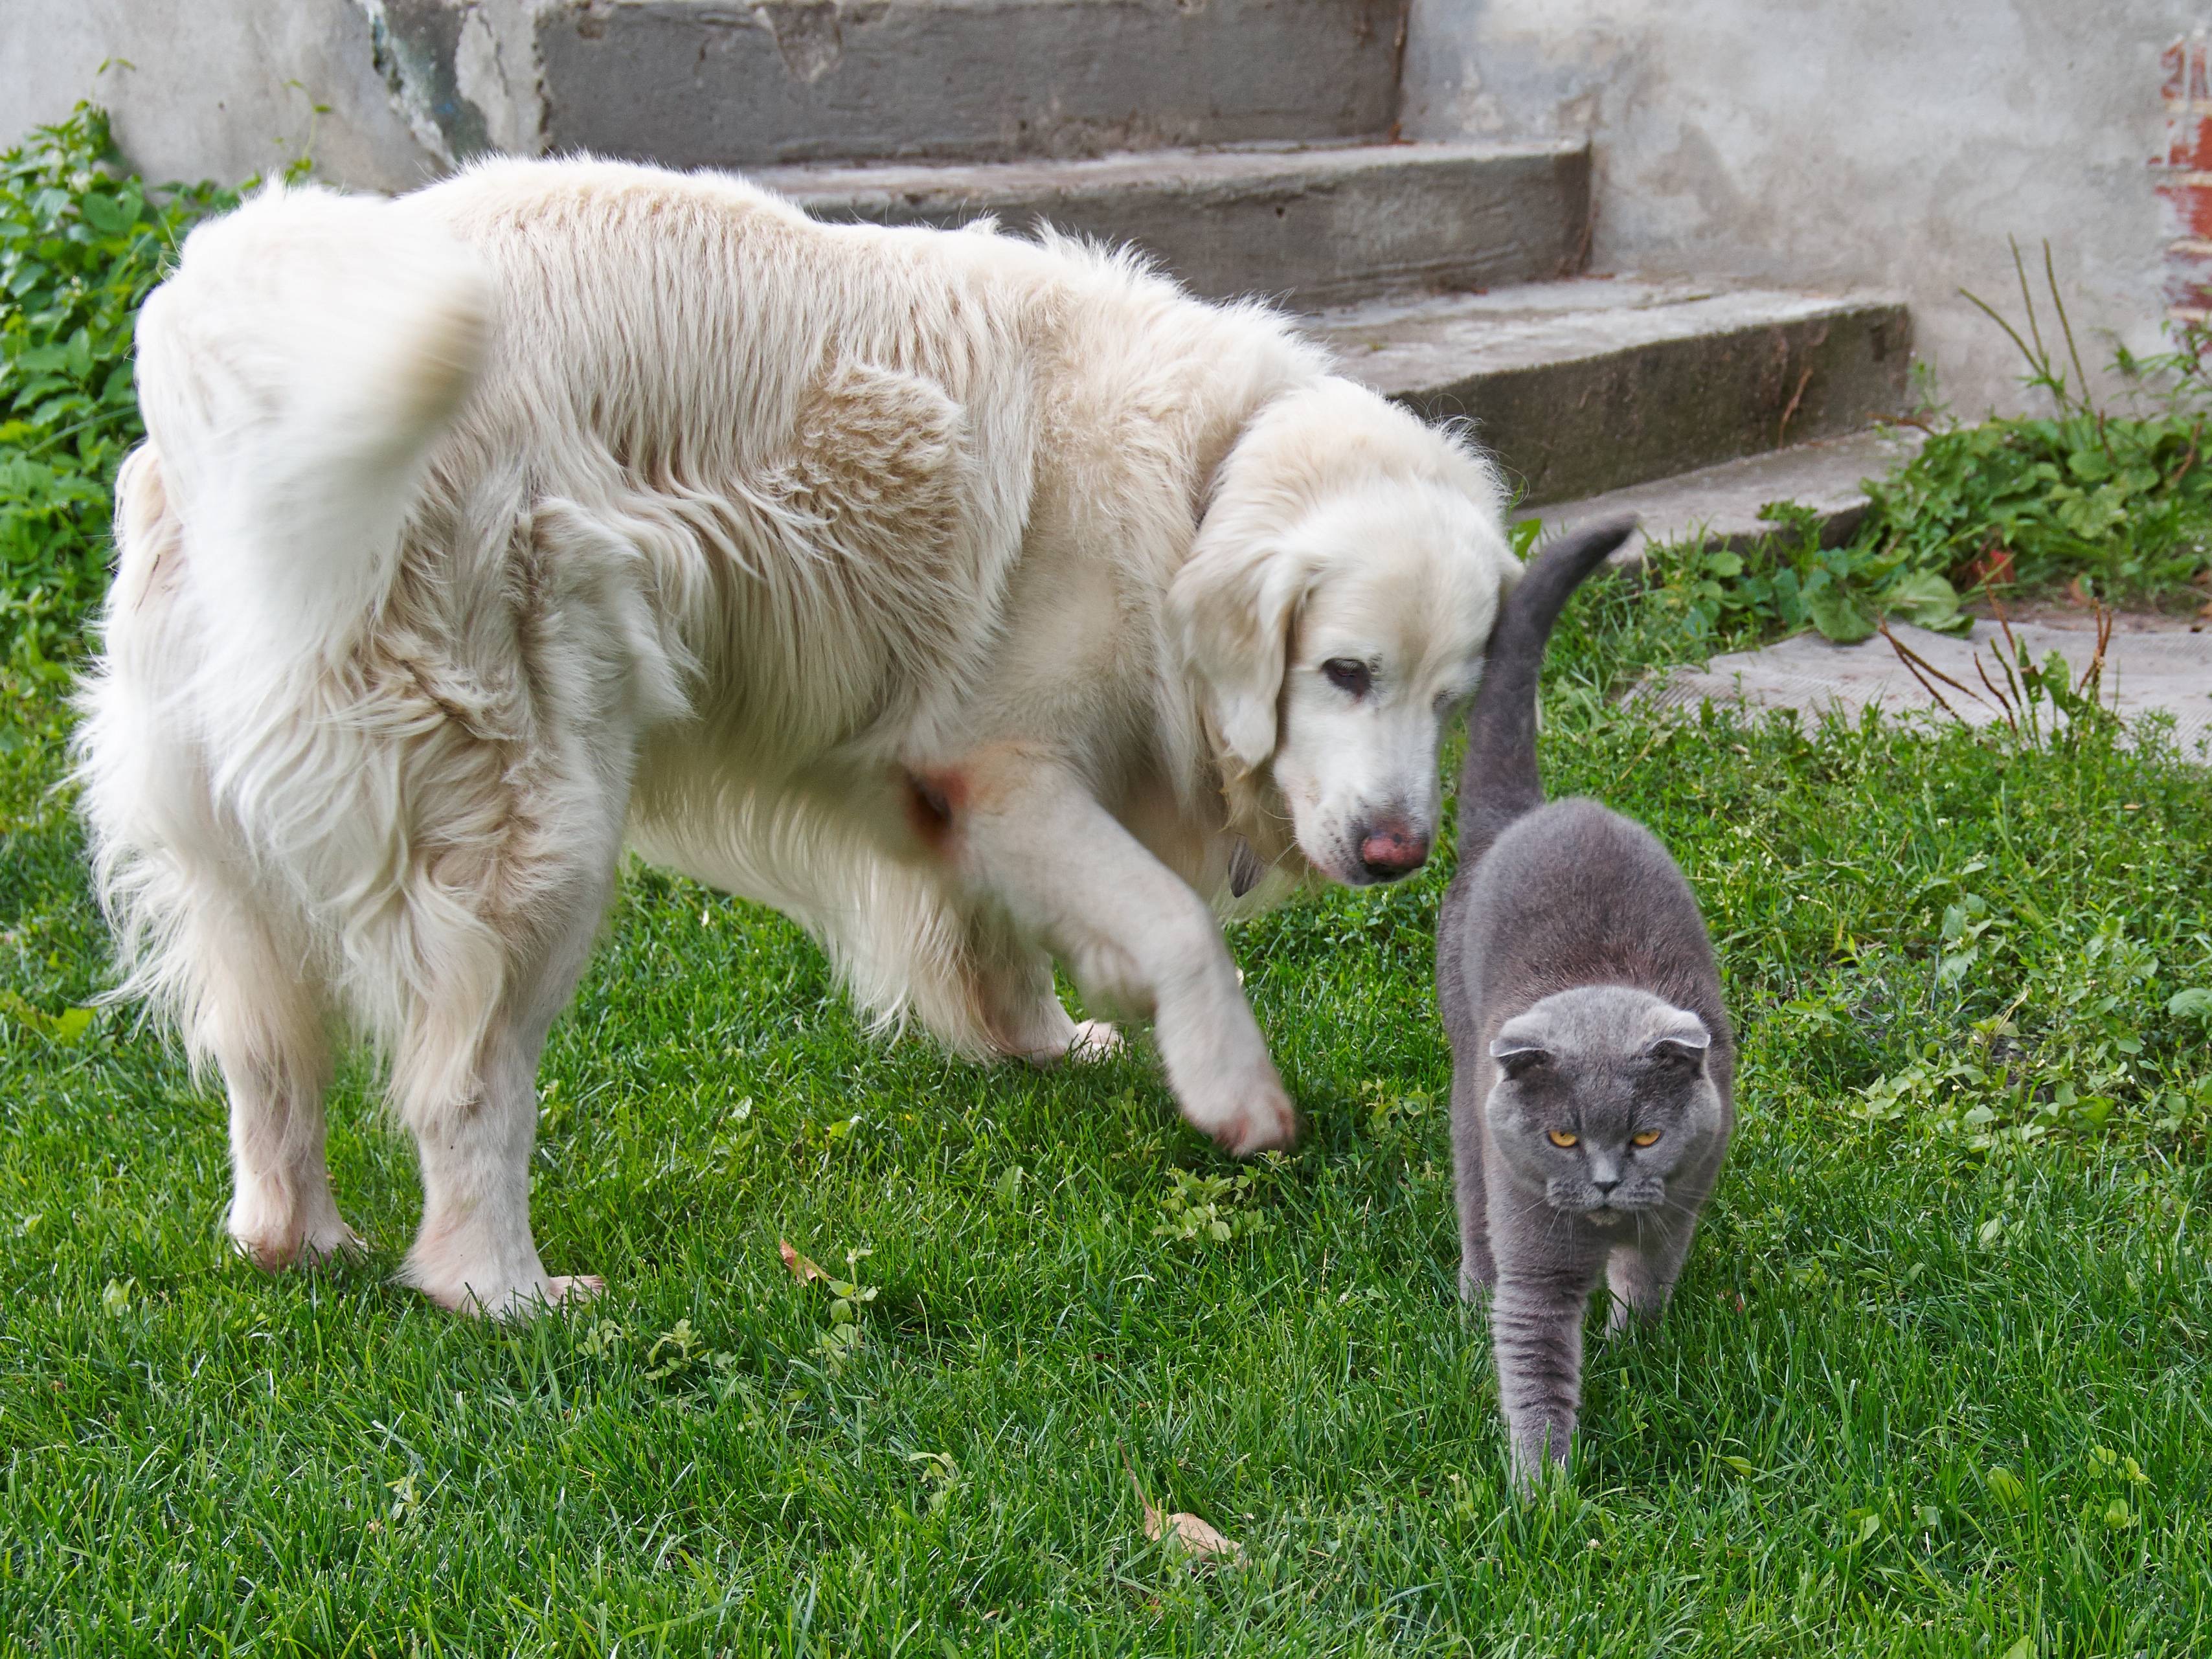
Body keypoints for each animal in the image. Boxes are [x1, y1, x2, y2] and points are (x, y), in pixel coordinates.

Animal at [73, 159, 1522, 1327]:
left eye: (1450, 699)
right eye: (1343, 673)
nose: (1398, 854)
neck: (1200, 478)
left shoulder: (954, 787)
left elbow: (992, 931)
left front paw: (1038, 1040)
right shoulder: (1004, 762)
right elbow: (1171, 922)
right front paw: (1234, 1091)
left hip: (238, 860)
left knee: (268, 1060)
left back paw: (297, 1239)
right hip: (536, 837)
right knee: (464, 1089)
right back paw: (503, 1289)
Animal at [1442, 517, 1734, 1477]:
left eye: (1644, 1134)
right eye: (1563, 1136)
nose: (1605, 1183)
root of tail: (1526, 812)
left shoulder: (1680, 1197)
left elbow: (1648, 1281)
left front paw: (1632, 1351)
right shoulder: (1536, 1251)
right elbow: (1534, 1363)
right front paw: (1543, 1492)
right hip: (1466, 1080)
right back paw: (1470, 1287)